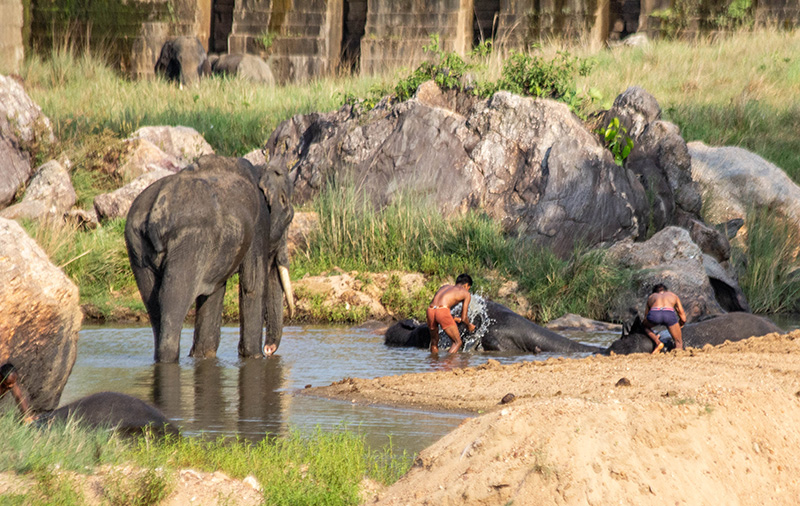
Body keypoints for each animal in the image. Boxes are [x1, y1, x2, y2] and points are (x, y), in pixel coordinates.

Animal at [126, 156, 296, 362]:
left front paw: (203, 357)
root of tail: (156, 210)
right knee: (173, 299)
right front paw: (255, 357)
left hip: (136, 247)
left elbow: (214, 291)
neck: (260, 169)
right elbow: (252, 285)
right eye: (289, 218)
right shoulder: (259, 225)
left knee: (152, 303)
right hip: (190, 242)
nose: (269, 350)